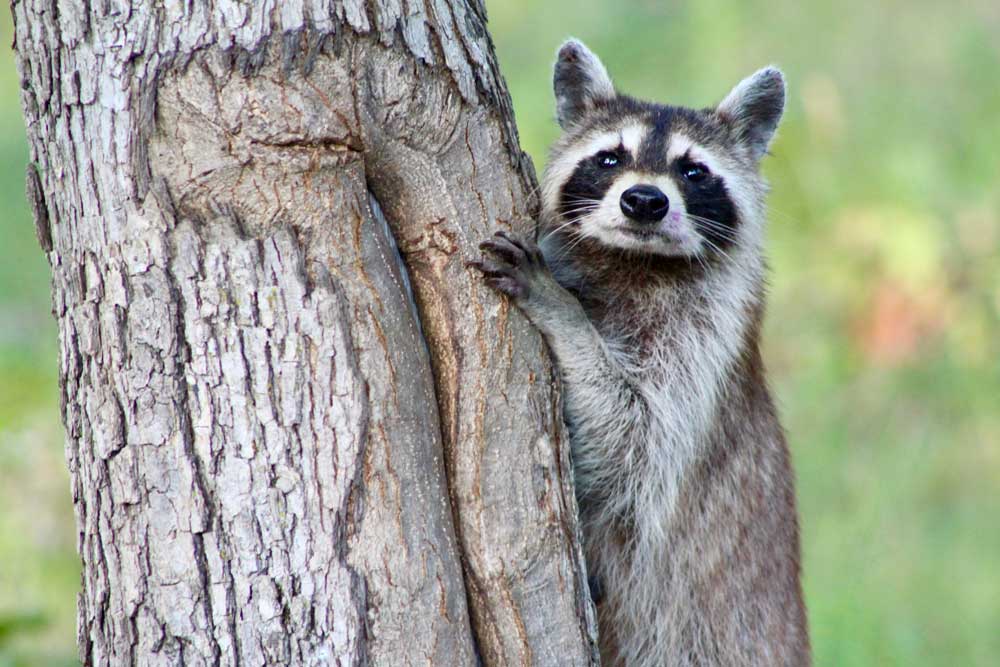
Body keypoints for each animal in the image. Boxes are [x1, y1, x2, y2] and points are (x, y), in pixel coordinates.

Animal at [472, 40, 808, 667]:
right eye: (609, 159)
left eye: (693, 170)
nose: (644, 201)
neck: (633, 262)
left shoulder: (702, 352)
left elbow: (634, 436)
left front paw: (563, 312)